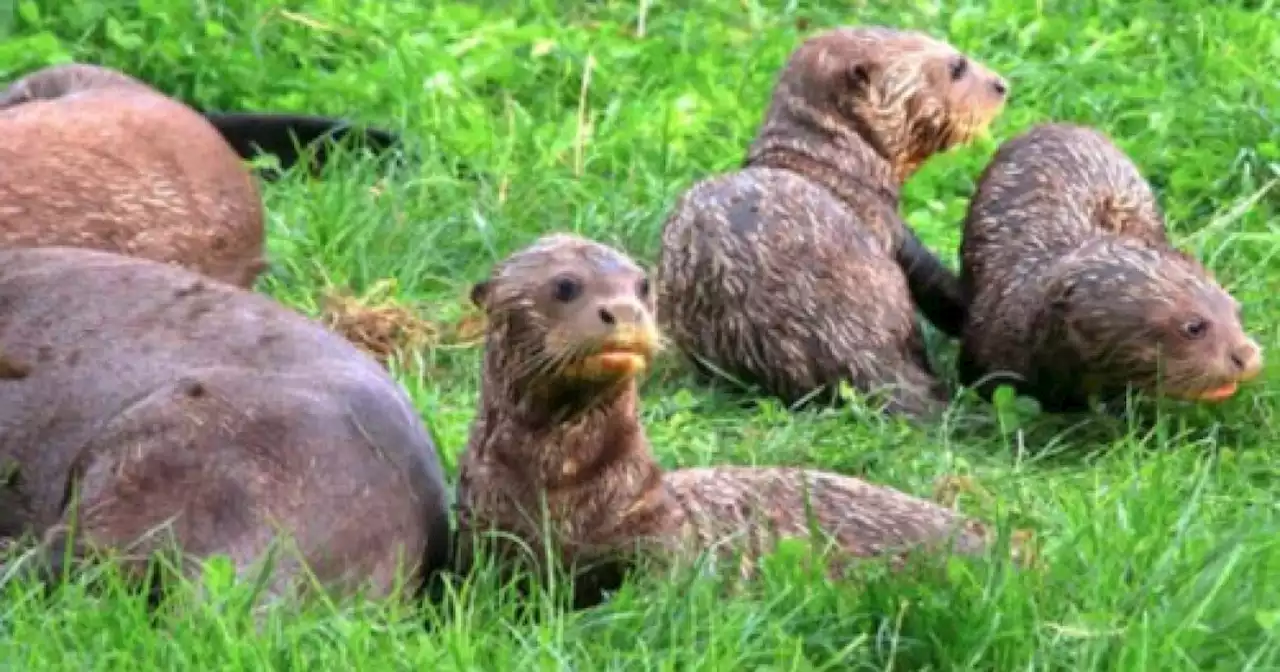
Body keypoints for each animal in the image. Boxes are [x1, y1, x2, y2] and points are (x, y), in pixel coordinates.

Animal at [455, 234, 993, 606]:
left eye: (643, 286)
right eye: (566, 286)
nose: (624, 311)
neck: (563, 496)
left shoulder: (660, 535)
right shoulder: (487, 538)